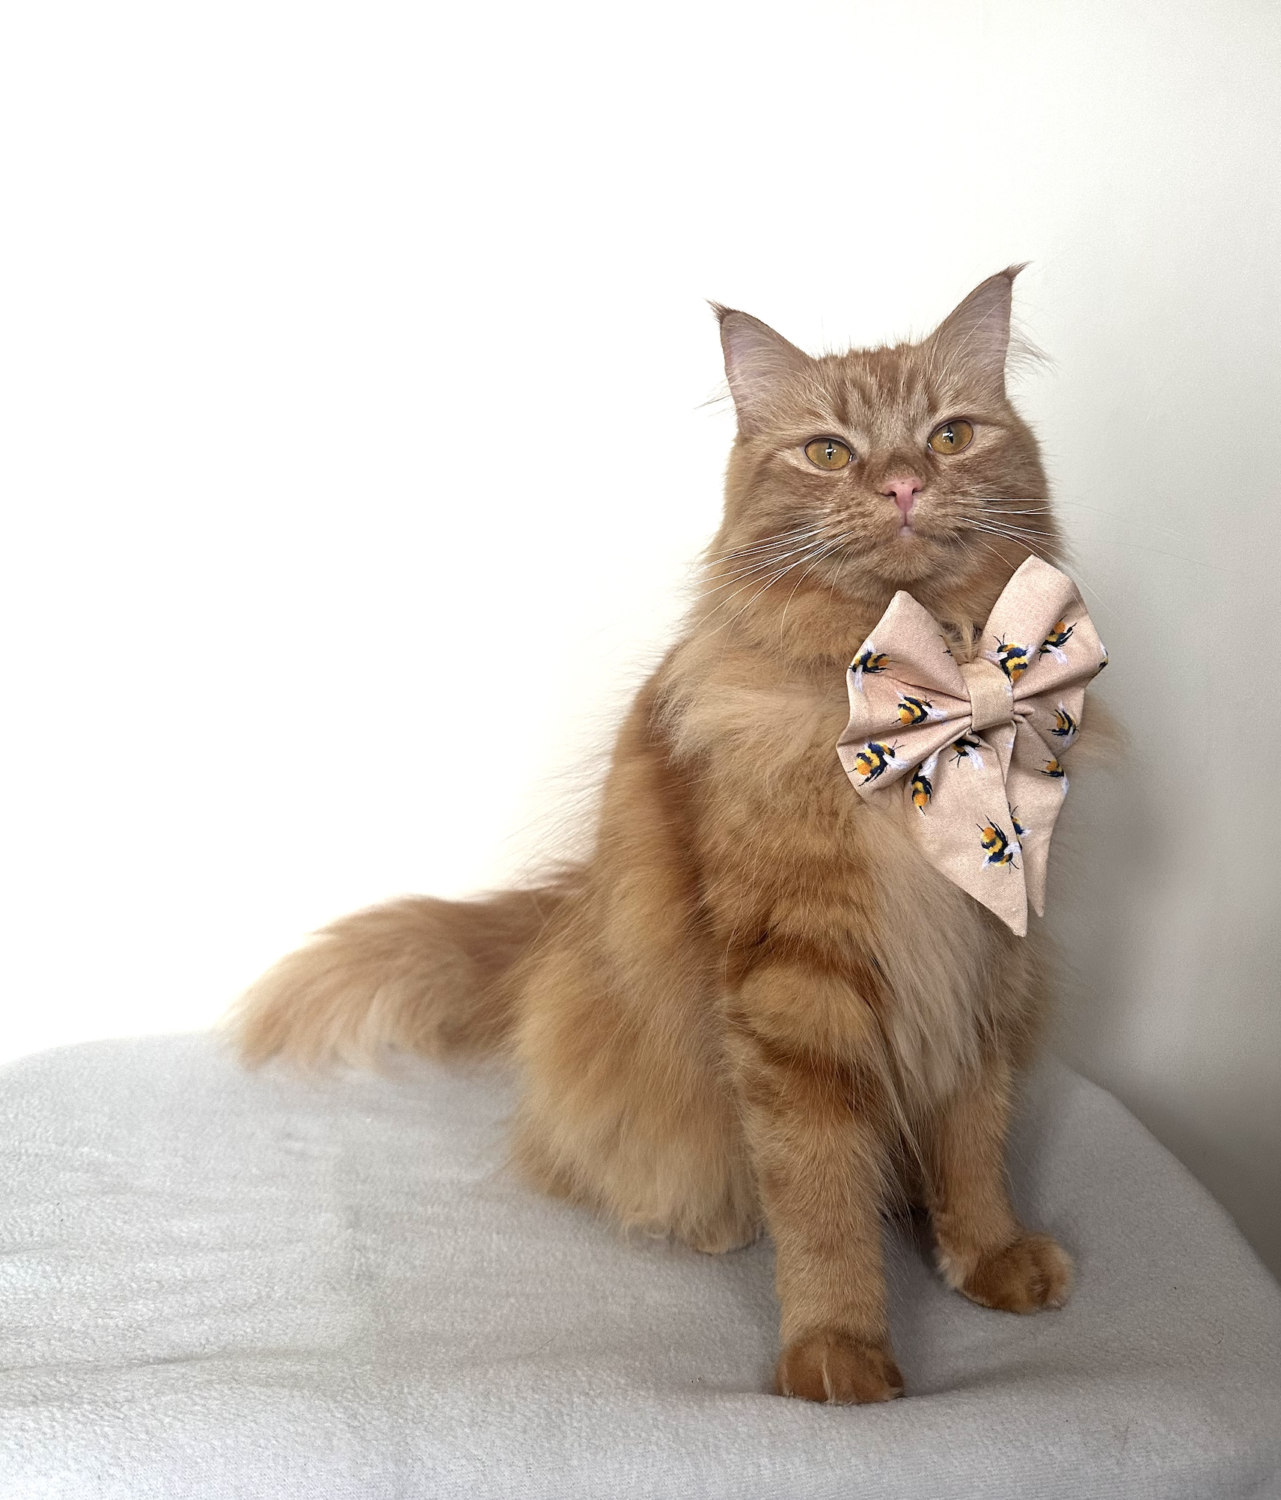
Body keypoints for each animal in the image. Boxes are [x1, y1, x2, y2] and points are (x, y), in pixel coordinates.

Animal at [233, 268, 1078, 1405]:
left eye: (949, 437)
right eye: (828, 453)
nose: (902, 484)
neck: (929, 702)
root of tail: (564, 915)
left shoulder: (988, 953)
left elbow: (974, 1140)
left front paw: (987, 1256)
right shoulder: (794, 984)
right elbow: (818, 1191)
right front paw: (837, 1352)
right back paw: (711, 1221)